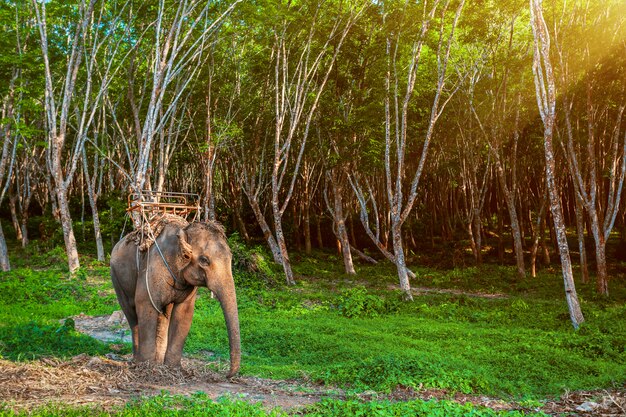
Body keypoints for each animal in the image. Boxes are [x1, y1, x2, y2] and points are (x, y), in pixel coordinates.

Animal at [109, 216, 239, 376]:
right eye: (204, 260)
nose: (226, 374)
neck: (184, 230)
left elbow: (184, 313)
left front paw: (173, 368)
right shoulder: (152, 269)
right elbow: (145, 305)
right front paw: (147, 367)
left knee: (164, 315)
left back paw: (158, 361)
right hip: (116, 278)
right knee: (131, 313)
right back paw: (137, 361)